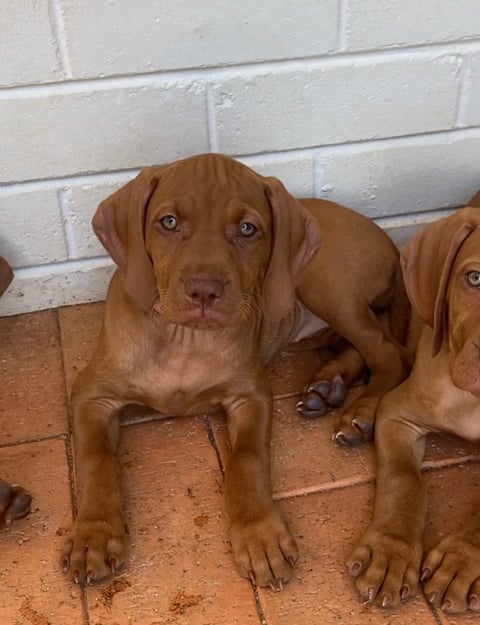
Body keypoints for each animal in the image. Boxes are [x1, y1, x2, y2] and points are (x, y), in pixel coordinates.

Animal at [62, 151, 410, 584]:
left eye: (247, 229)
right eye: (169, 222)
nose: (204, 291)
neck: (184, 339)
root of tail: (390, 242)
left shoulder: (252, 395)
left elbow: (248, 460)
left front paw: (259, 534)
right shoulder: (91, 394)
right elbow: (96, 458)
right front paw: (93, 533)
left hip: (325, 285)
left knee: (390, 352)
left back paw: (360, 413)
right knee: (359, 346)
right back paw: (326, 387)